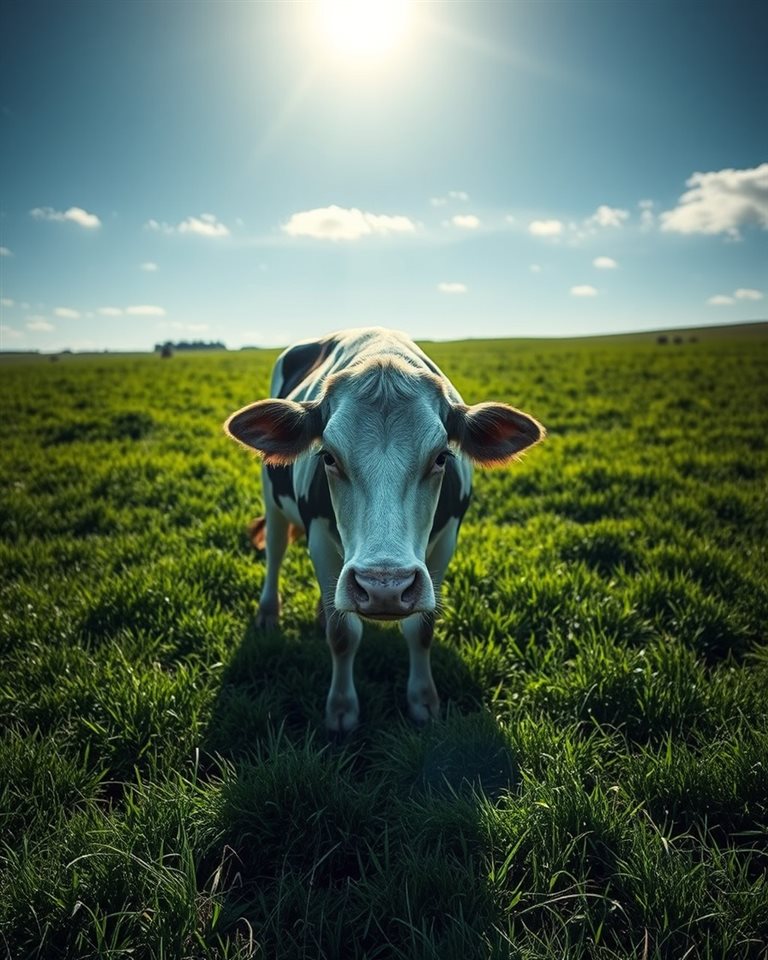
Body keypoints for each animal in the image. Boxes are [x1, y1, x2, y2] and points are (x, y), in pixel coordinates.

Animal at [224, 328, 544, 733]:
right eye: (328, 456)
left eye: (442, 457)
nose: (384, 588)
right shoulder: (319, 540)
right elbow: (343, 635)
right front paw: (341, 709)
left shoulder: (444, 544)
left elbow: (421, 629)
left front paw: (423, 701)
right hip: (272, 498)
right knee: (276, 550)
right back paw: (268, 613)